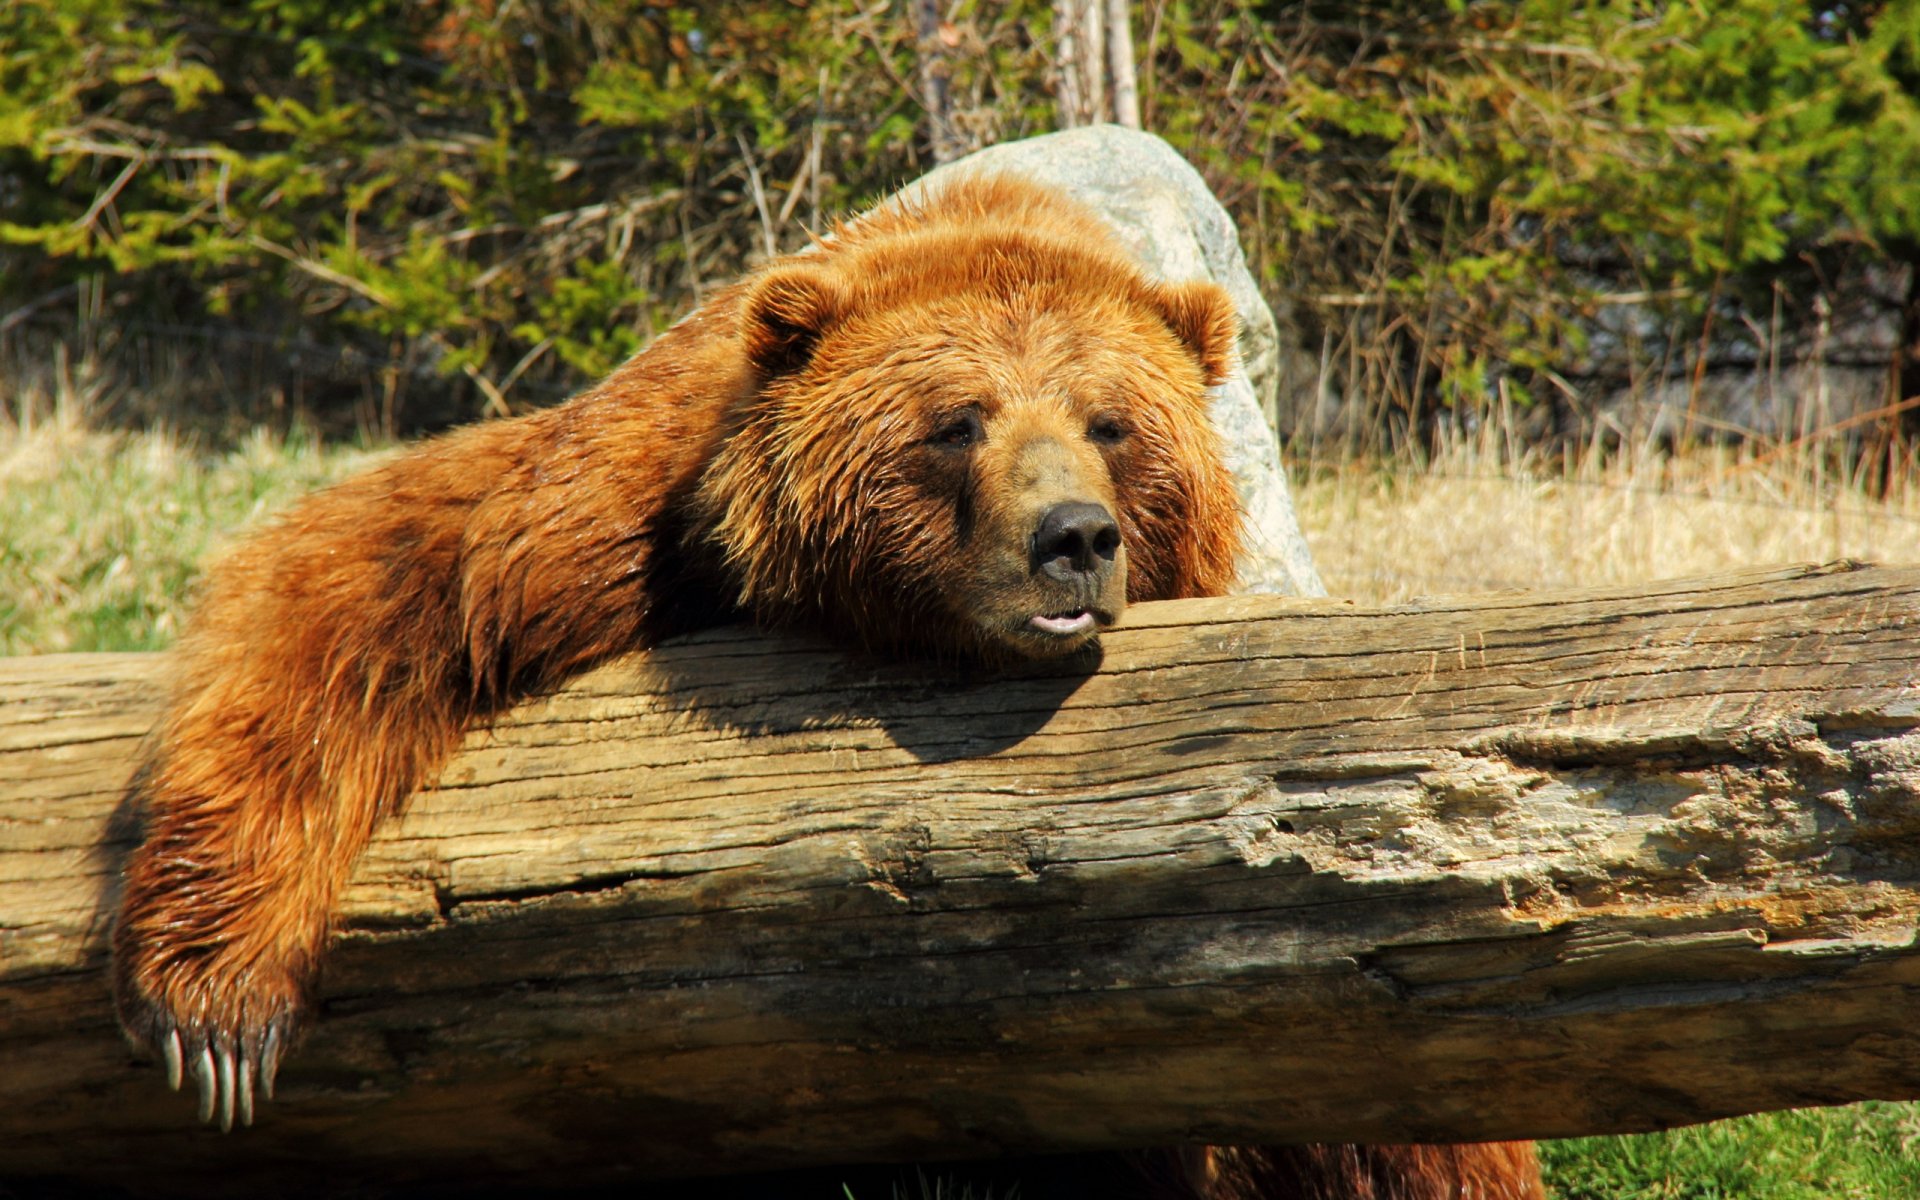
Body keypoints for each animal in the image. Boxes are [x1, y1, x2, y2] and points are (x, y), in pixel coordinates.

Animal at [111, 174, 1543, 1200]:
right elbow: (358, 587)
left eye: (1111, 422)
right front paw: (216, 1019)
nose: (1071, 538)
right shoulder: (591, 533)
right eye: (958, 420)